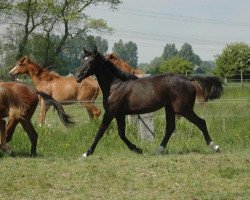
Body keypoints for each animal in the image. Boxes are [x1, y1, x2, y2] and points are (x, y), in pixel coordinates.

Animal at [74, 47, 223, 157]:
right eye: (82, 60)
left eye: (91, 61)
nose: (77, 77)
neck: (115, 86)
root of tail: (188, 79)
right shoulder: (120, 114)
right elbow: (121, 134)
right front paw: (138, 149)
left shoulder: (111, 112)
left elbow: (100, 132)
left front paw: (87, 153)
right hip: (170, 108)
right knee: (170, 128)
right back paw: (159, 150)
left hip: (183, 109)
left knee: (201, 122)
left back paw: (215, 146)